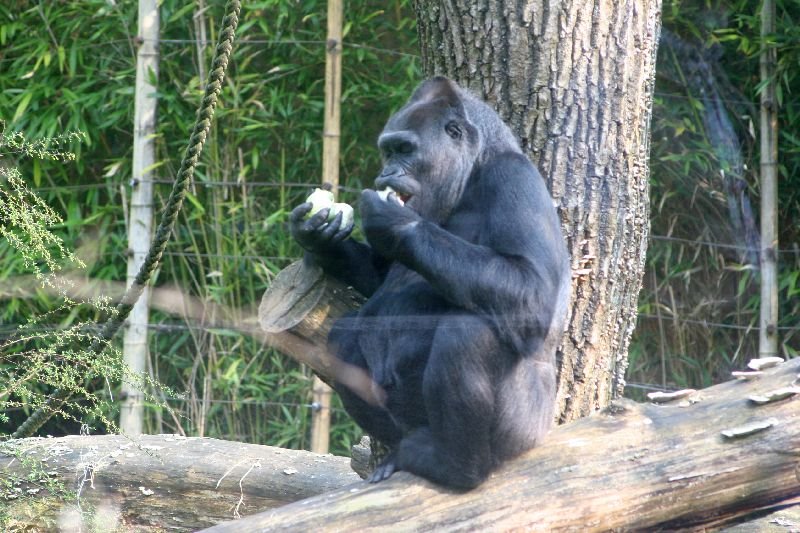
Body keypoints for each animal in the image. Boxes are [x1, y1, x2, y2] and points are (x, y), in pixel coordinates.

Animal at [290, 77, 568, 488]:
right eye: (387, 151)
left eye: (405, 149)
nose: (386, 174)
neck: (472, 173)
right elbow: (376, 281)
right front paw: (320, 238)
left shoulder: (514, 178)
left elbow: (532, 293)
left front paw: (396, 222)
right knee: (343, 337)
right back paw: (399, 451)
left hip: (527, 433)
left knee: (470, 330)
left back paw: (457, 466)